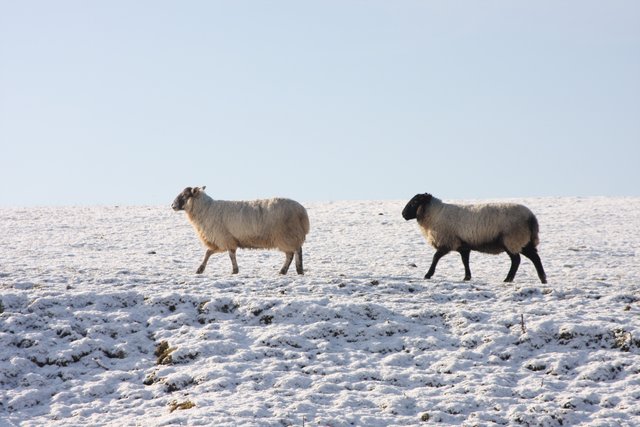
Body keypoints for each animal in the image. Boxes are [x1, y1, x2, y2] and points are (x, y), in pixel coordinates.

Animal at [172, 186, 310, 275]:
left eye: (184, 195)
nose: (172, 205)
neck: (205, 209)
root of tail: (302, 212)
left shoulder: (224, 238)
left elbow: (229, 255)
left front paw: (234, 271)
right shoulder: (222, 240)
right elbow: (209, 252)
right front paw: (200, 269)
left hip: (287, 235)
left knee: (295, 252)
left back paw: (297, 270)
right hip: (287, 237)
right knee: (291, 254)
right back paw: (285, 271)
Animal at [402, 193, 547, 283]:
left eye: (415, 201)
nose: (403, 214)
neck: (434, 214)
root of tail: (531, 217)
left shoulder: (447, 241)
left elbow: (435, 257)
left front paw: (428, 275)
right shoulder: (463, 246)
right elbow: (465, 261)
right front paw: (467, 277)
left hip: (512, 239)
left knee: (517, 260)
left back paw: (509, 279)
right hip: (522, 241)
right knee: (534, 258)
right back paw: (542, 279)